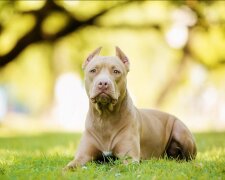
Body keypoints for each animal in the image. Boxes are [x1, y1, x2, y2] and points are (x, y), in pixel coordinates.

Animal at [64, 46, 196, 170]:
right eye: (93, 70)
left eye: (116, 71)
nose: (103, 83)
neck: (105, 117)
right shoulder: (82, 156)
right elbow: (68, 167)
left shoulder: (129, 158)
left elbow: (116, 168)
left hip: (180, 130)